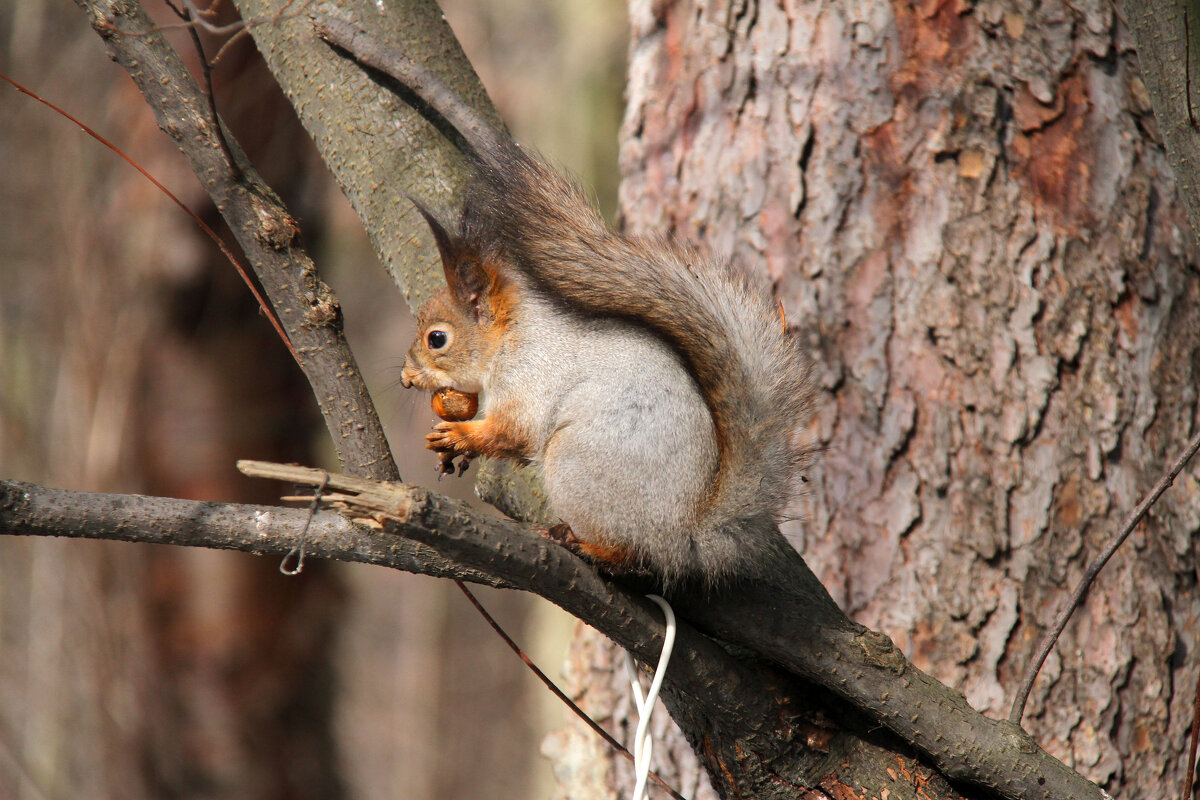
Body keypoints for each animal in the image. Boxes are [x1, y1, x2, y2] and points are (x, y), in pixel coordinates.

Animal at [400, 139, 816, 587]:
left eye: (437, 339)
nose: (405, 377)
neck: (511, 337)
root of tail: (684, 533)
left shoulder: (529, 378)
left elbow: (514, 431)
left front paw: (461, 436)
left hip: (576, 466)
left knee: (631, 553)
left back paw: (585, 544)